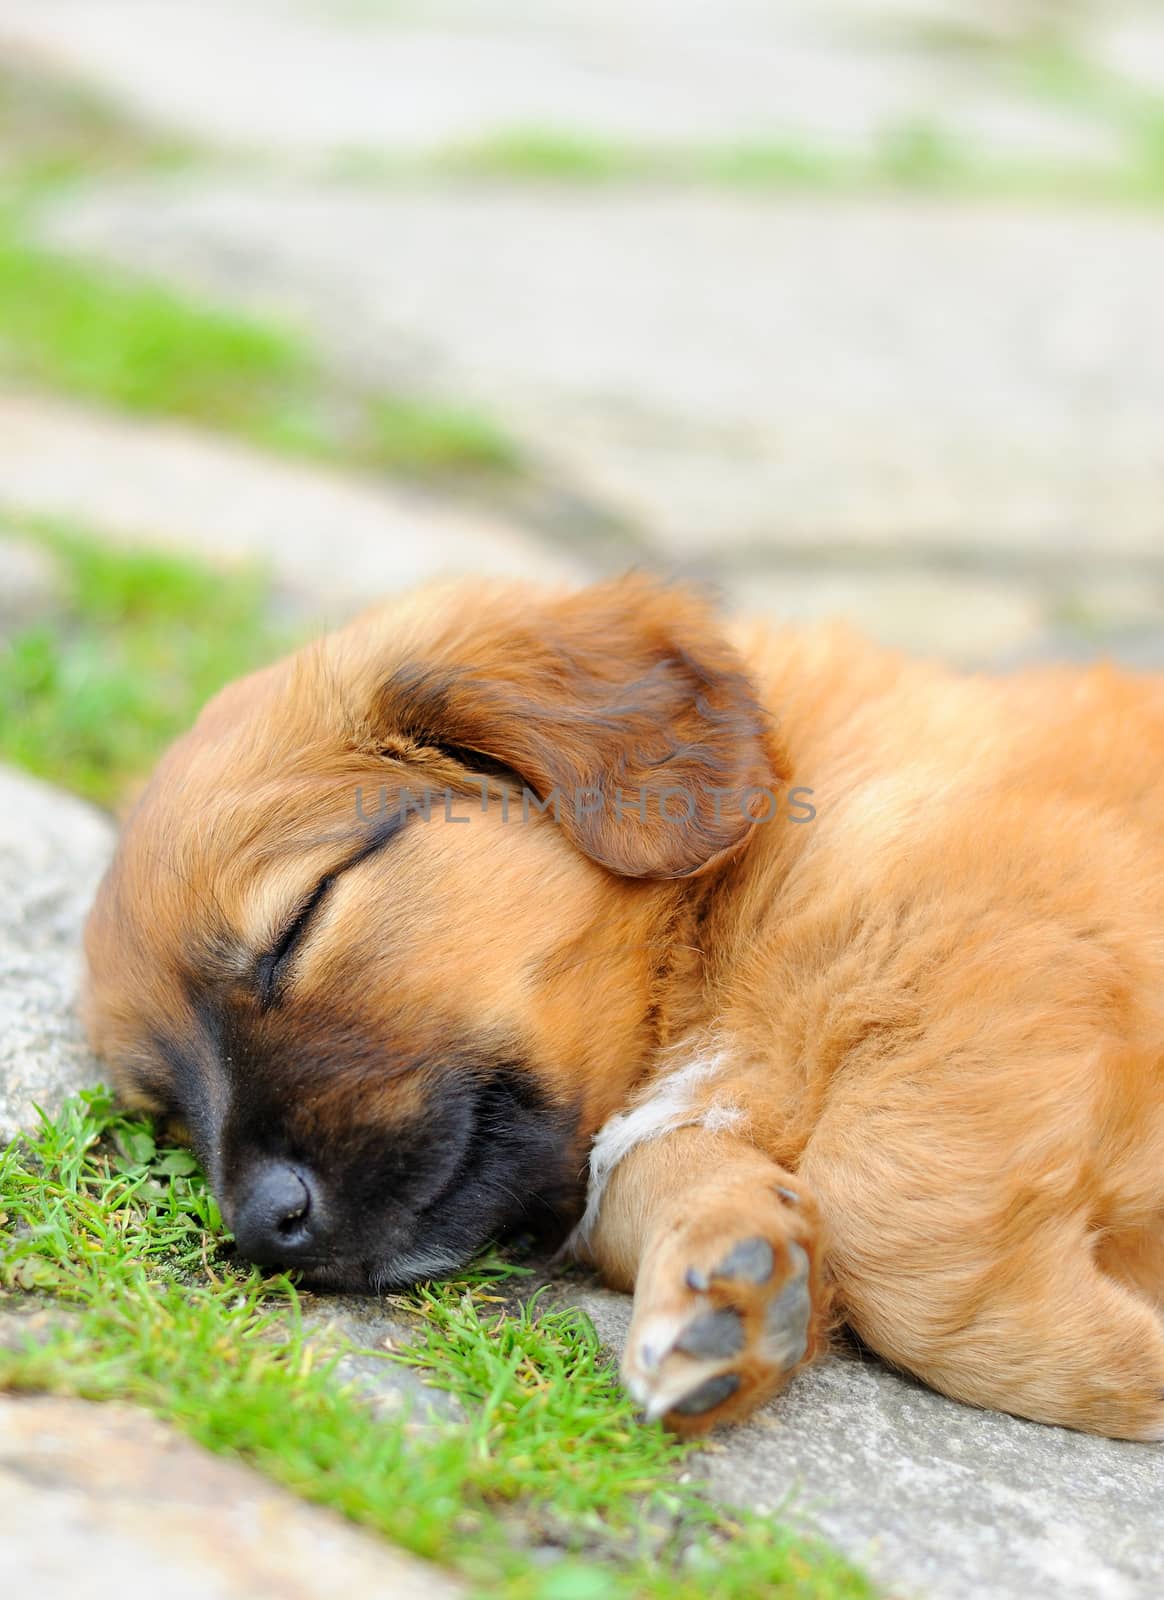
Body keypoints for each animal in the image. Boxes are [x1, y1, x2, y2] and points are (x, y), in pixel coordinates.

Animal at [83, 572, 1164, 1440]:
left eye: (302, 919)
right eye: (167, 1114)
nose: (265, 1228)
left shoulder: (1011, 925)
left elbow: (896, 1213)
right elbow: (667, 1168)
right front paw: (733, 1283)